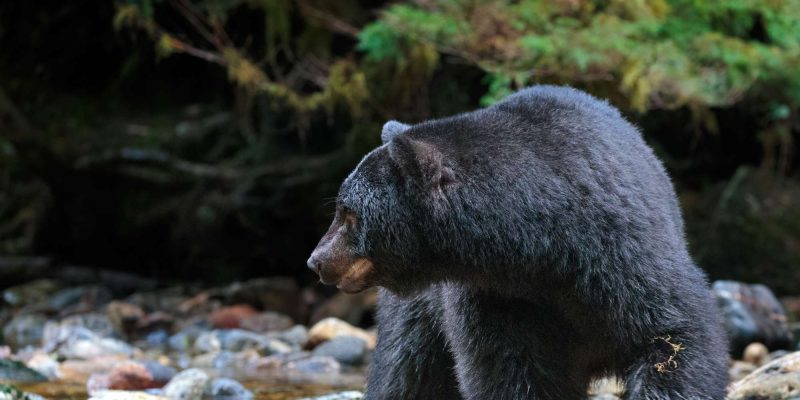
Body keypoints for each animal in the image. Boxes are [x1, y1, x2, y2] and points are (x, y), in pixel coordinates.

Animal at [308, 86, 732, 398]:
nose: (316, 259)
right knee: (406, 369)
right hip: (421, 309)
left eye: (348, 213)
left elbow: (674, 337)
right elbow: (510, 372)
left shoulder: (622, 257)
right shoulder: (499, 299)